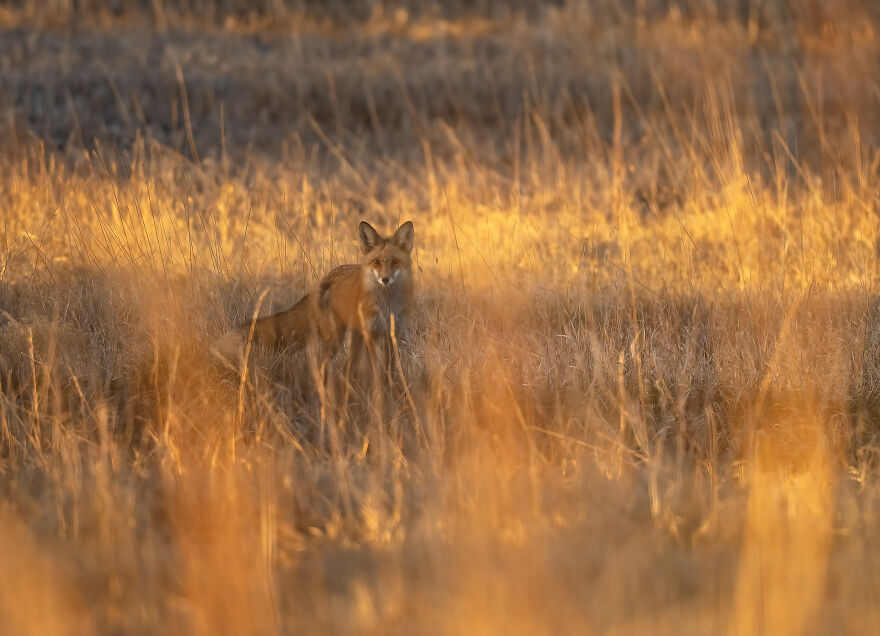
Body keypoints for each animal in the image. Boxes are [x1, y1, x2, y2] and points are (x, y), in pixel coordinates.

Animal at [216, 220, 415, 378]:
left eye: (395, 262)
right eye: (376, 262)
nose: (385, 279)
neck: (387, 305)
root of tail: (328, 276)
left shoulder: (392, 333)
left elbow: (390, 370)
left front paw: (389, 389)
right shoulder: (371, 333)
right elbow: (375, 370)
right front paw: (379, 394)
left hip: (353, 339)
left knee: (346, 369)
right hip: (335, 339)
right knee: (323, 367)